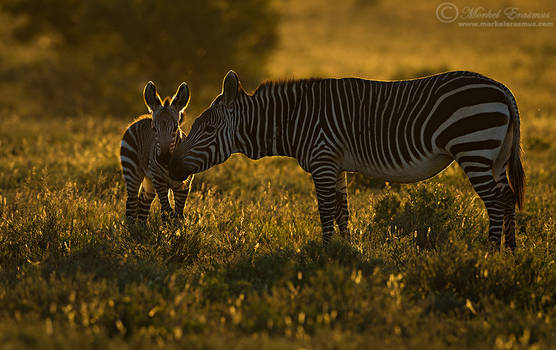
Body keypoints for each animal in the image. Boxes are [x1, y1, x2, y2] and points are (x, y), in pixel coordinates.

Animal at [167, 70, 524, 249]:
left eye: (208, 128)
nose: (169, 164)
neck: (296, 119)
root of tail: (502, 88)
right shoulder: (336, 165)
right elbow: (343, 212)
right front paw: (346, 251)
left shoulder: (323, 159)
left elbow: (326, 211)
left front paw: (325, 253)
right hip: (493, 155)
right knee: (507, 197)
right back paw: (510, 252)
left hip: (473, 147)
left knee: (495, 201)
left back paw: (489, 252)